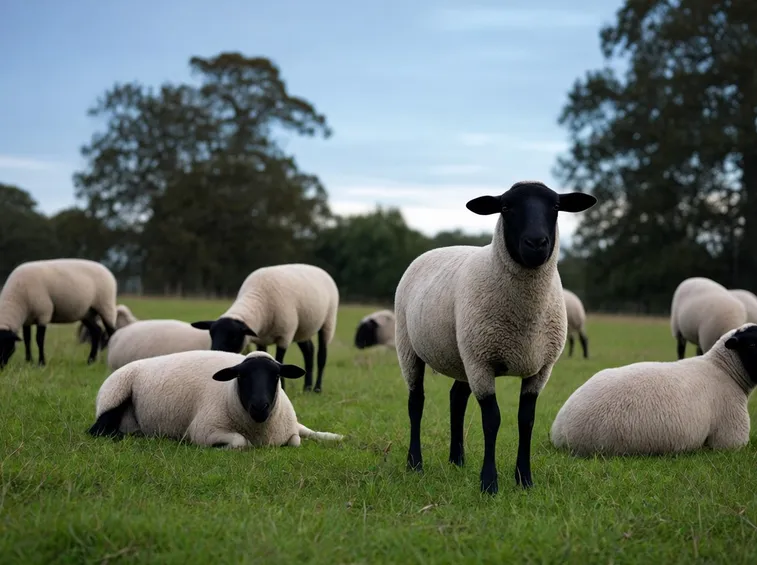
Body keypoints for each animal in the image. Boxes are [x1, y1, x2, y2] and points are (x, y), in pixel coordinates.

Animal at [88, 350, 345, 448]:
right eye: (241, 376)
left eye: (276, 376)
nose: (260, 406)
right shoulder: (204, 429)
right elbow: (241, 442)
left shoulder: (289, 427)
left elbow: (299, 437)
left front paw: (335, 436)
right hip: (114, 395)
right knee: (98, 430)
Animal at [190, 263, 339, 393]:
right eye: (211, 334)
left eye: (233, 336)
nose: (215, 352)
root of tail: (318, 268)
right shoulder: (260, 340)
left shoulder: (284, 336)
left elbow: (280, 360)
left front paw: (282, 388)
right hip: (302, 330)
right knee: (309, 351)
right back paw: (307, 388)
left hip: (328, 322)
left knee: (321, 355)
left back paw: (317, 389)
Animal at [393, 180, 596, 495]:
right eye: (506, 207)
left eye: (555, 206)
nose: (536, 243)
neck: (525, 319)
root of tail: (431, 251)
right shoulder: (482, 363)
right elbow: (492, 421)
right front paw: (489, 483)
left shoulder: (540, 368)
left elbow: (526, 420)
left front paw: (524, 480)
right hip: (409, 346)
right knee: (416, 402)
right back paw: (415, 463)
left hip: (462, 354)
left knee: (456, 398)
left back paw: (457, 460)